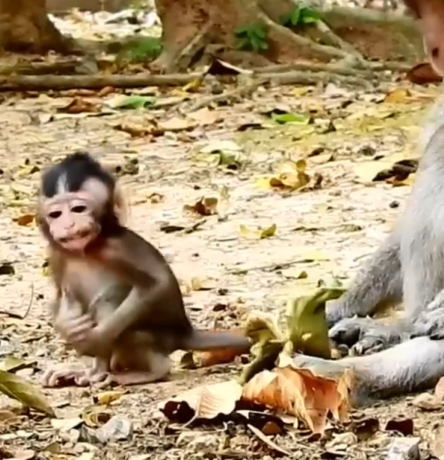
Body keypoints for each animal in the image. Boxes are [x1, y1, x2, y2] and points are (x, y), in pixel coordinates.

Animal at [38, 152, 252, 387]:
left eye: (78, 209)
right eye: (56, 214)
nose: (67, 225)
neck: (85, 249)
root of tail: (183, 332)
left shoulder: (115, 246)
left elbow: (159, 283)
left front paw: (93, 340)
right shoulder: (57, 254)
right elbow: (62, 294)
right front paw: (67, 327)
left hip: (154, 337)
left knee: (109, 301)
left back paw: (152, 370)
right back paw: (92, 371)